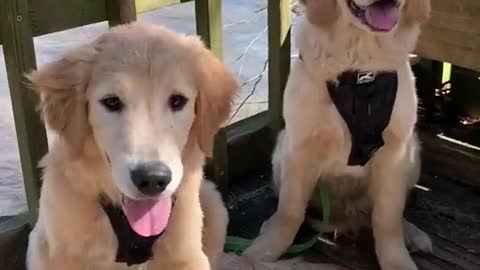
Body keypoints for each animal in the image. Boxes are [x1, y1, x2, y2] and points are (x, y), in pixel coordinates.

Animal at [244, 1, 432, 268]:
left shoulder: (394, 152)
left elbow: (387, 218)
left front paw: (397, 260)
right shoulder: (300, 148)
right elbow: (290, 210)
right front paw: (262, 251)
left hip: (412, 153)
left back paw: (412, 234)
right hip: (281, 152)